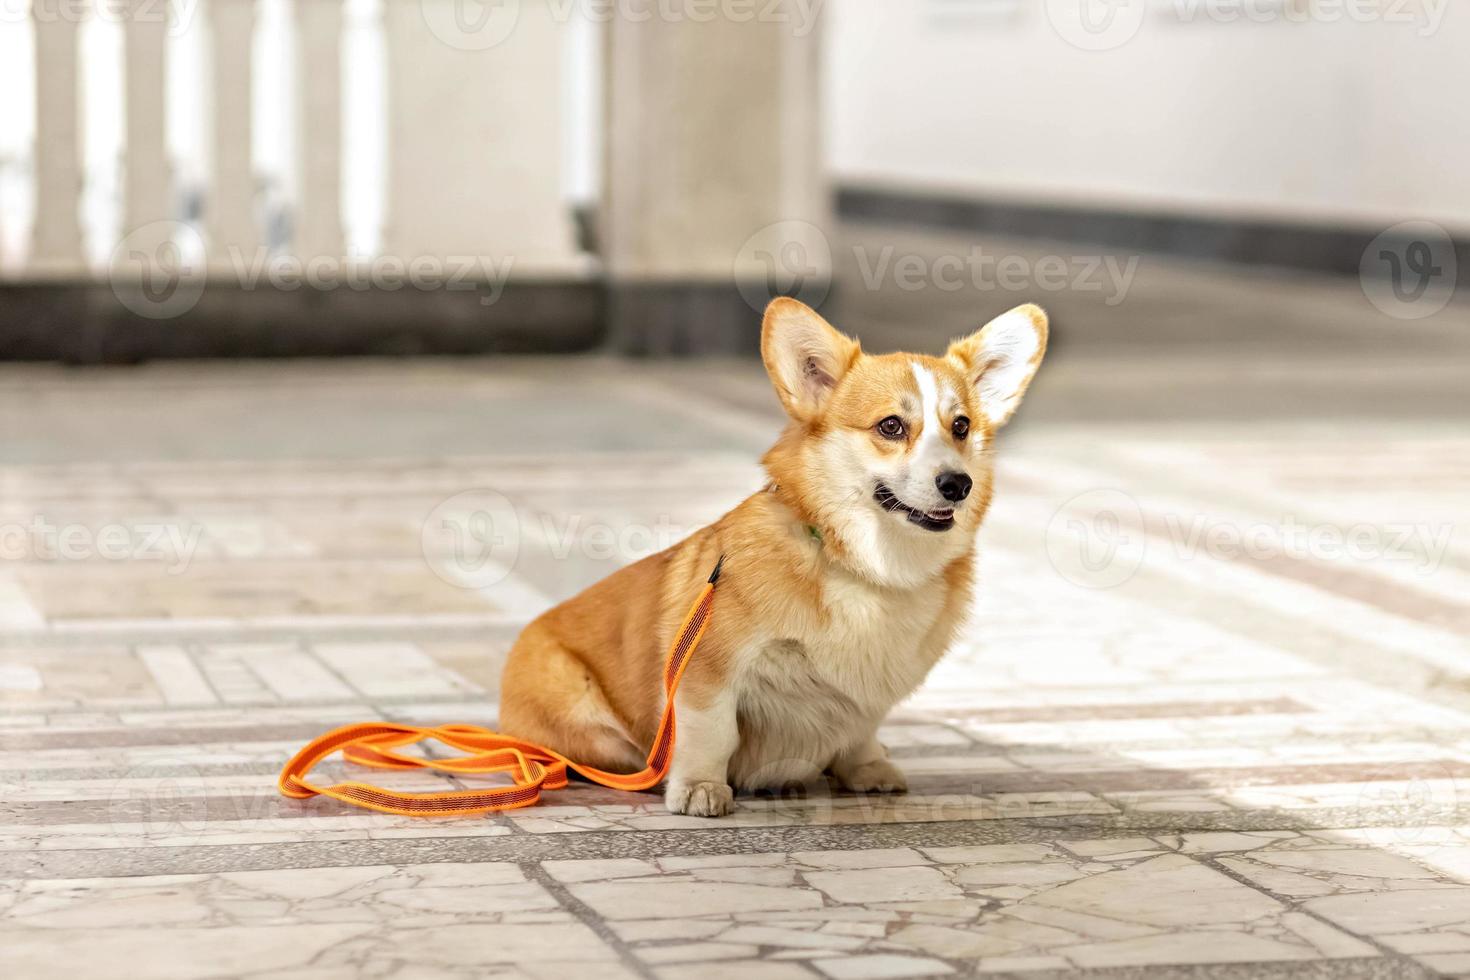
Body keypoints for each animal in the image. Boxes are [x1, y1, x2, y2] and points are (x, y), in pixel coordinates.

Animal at [502, 301, 1046, 822]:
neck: (867, 567)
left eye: (962, 426)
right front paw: (700, 788)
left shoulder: (868, 694)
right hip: (589, 722)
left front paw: (867, 767)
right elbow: (714, 732)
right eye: (891, 426)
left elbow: (862, 730)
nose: (958, 484)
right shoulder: (709, 670)